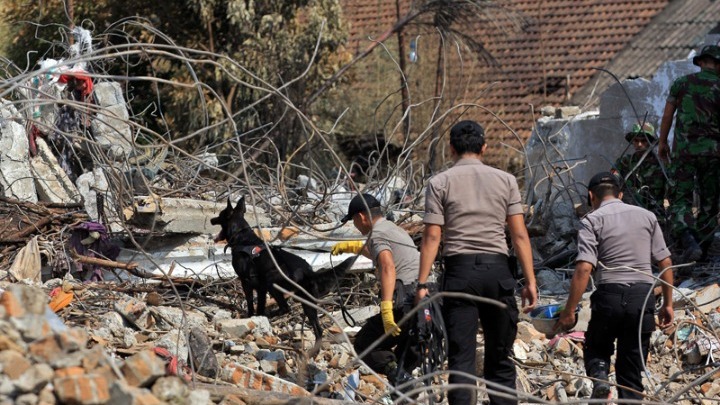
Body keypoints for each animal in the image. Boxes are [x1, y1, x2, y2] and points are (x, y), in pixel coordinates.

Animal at [210, 196, 356, 340]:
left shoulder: (246, 282)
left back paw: (272, 314)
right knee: (318, 330)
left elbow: (251, 304)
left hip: (272, 281)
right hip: (306, 300)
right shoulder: (261, 288)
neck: (242, 235)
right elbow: (260, 306)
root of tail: (309, 272)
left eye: (220, 215)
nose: (211, 220)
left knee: (286, 308)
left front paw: (251, 317)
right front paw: (258, 318)